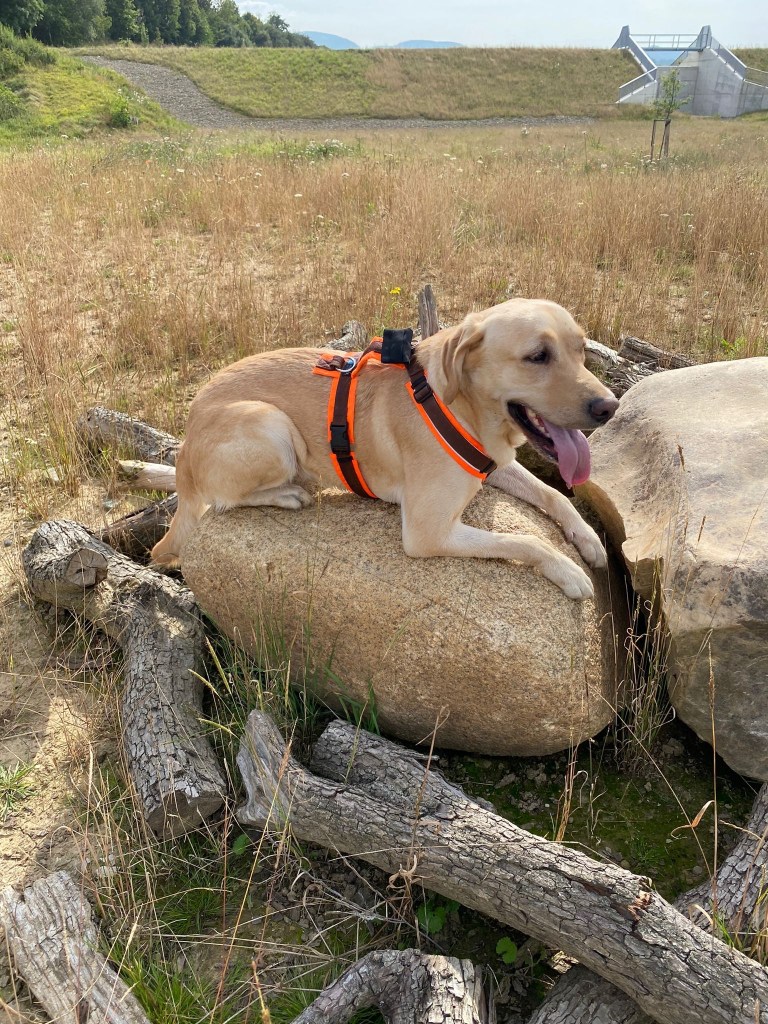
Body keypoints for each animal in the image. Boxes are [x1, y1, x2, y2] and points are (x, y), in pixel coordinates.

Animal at [151, 298, 618, 599]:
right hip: (270, 424)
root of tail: (184, 447)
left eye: (581, 349)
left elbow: (554, 494)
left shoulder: (496, 464)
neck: (458, 404)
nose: (609, 407)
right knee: (223, 501)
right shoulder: (428, 532)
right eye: (537, 356)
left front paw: (587, 538)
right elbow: (523, 540)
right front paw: (566, 570)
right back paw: (289, 493)